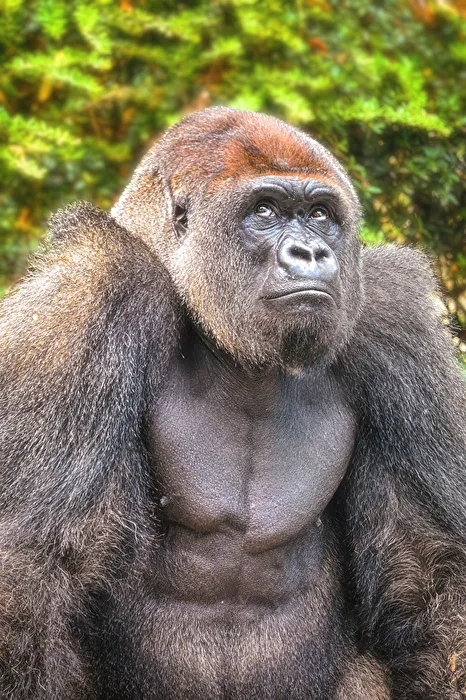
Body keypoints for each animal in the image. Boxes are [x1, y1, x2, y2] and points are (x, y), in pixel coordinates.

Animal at [0, 107, 465, 699]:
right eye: (264, 211)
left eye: (320, 215)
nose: (312, 253)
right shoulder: (94, 294)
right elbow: (27, 576)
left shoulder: (390, 318)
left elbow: (434, 576)